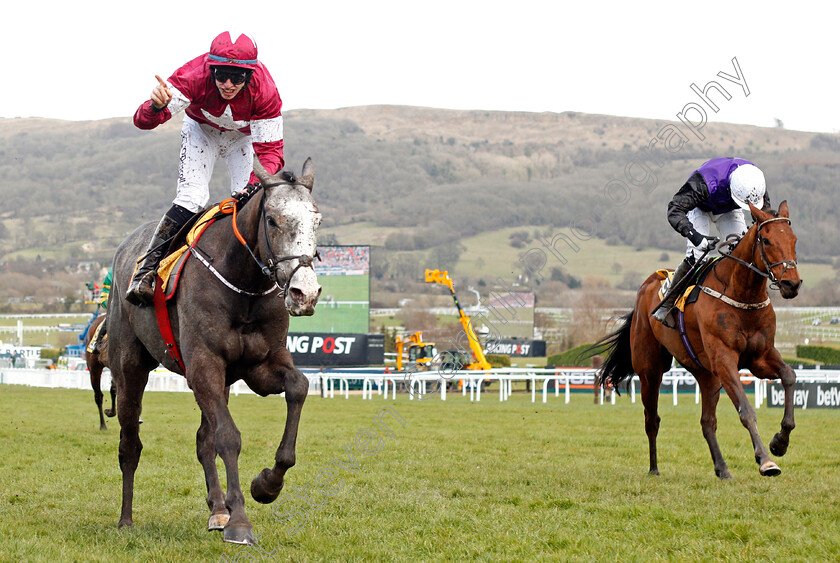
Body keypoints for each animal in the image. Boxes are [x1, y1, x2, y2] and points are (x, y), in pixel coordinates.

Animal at [107, 159, 322, 548]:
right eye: (272, 220)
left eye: (317, 221)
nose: (305, 293)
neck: (243, 283)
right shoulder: (203, 365)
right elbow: (229, 437)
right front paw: (240, 522)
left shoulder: (260, 365)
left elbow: (298, 387)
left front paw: (266, 485)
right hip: (130, 368)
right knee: (130, 444)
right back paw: (126, 520)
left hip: (223, 380)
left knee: (202, 440)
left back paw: (218, 509)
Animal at [596, 203, 800, 480]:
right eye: (766, 240)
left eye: (793, 240)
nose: (792, 284)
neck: (740, 294)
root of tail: (646, 286)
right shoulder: (724, 360)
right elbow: (746, 410)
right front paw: (766, 461)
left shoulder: (760, 356)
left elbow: (789, 375)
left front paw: (780, 442)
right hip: (651, 369)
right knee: (652, 420)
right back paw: (654, 468)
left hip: (707, 375)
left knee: (707, 423)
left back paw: (722, 469)